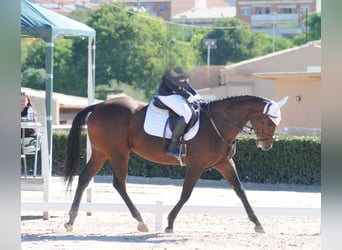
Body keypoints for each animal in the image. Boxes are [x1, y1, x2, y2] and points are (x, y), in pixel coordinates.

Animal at [62, 93, 288, 232]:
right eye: (269, 122)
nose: (266, 146)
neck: (218, 124)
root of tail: (98, 106)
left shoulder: (225, 163)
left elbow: (240, 190)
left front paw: (257, 223)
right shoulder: (196, 166)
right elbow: (186, 194)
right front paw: (169, 223)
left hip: (101, 152)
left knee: (84, 178)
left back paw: (71, 220)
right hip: (118, 153)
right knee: (119, 184)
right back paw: (141, 222)